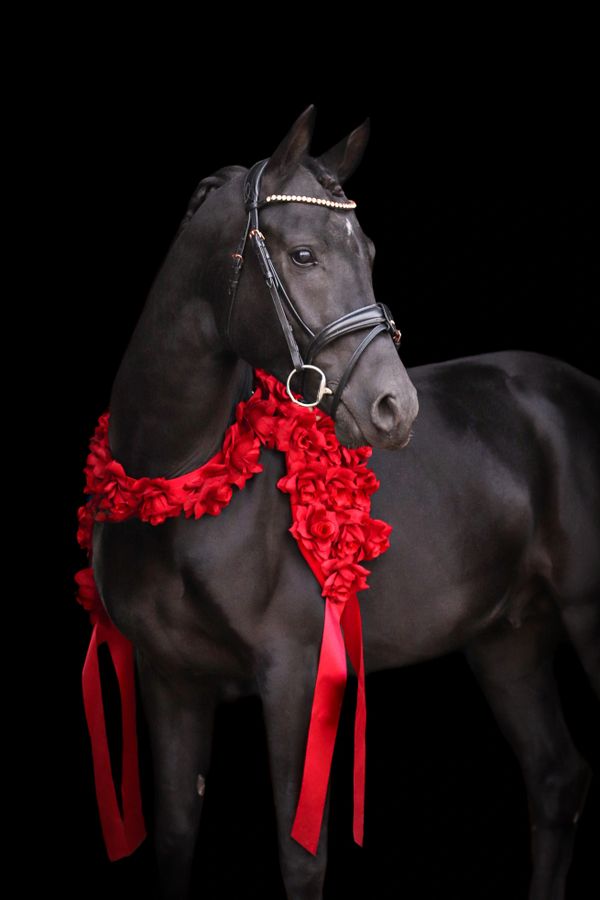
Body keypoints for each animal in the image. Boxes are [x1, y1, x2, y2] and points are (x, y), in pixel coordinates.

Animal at [91, 105, 599, 899]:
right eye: (302, 255)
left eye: (368, 250)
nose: (395, 407)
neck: (176, 487)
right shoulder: (169, 679)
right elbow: (174, 839)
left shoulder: (294, 673)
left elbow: (302, 859)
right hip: (507, 640)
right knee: (554, 779)